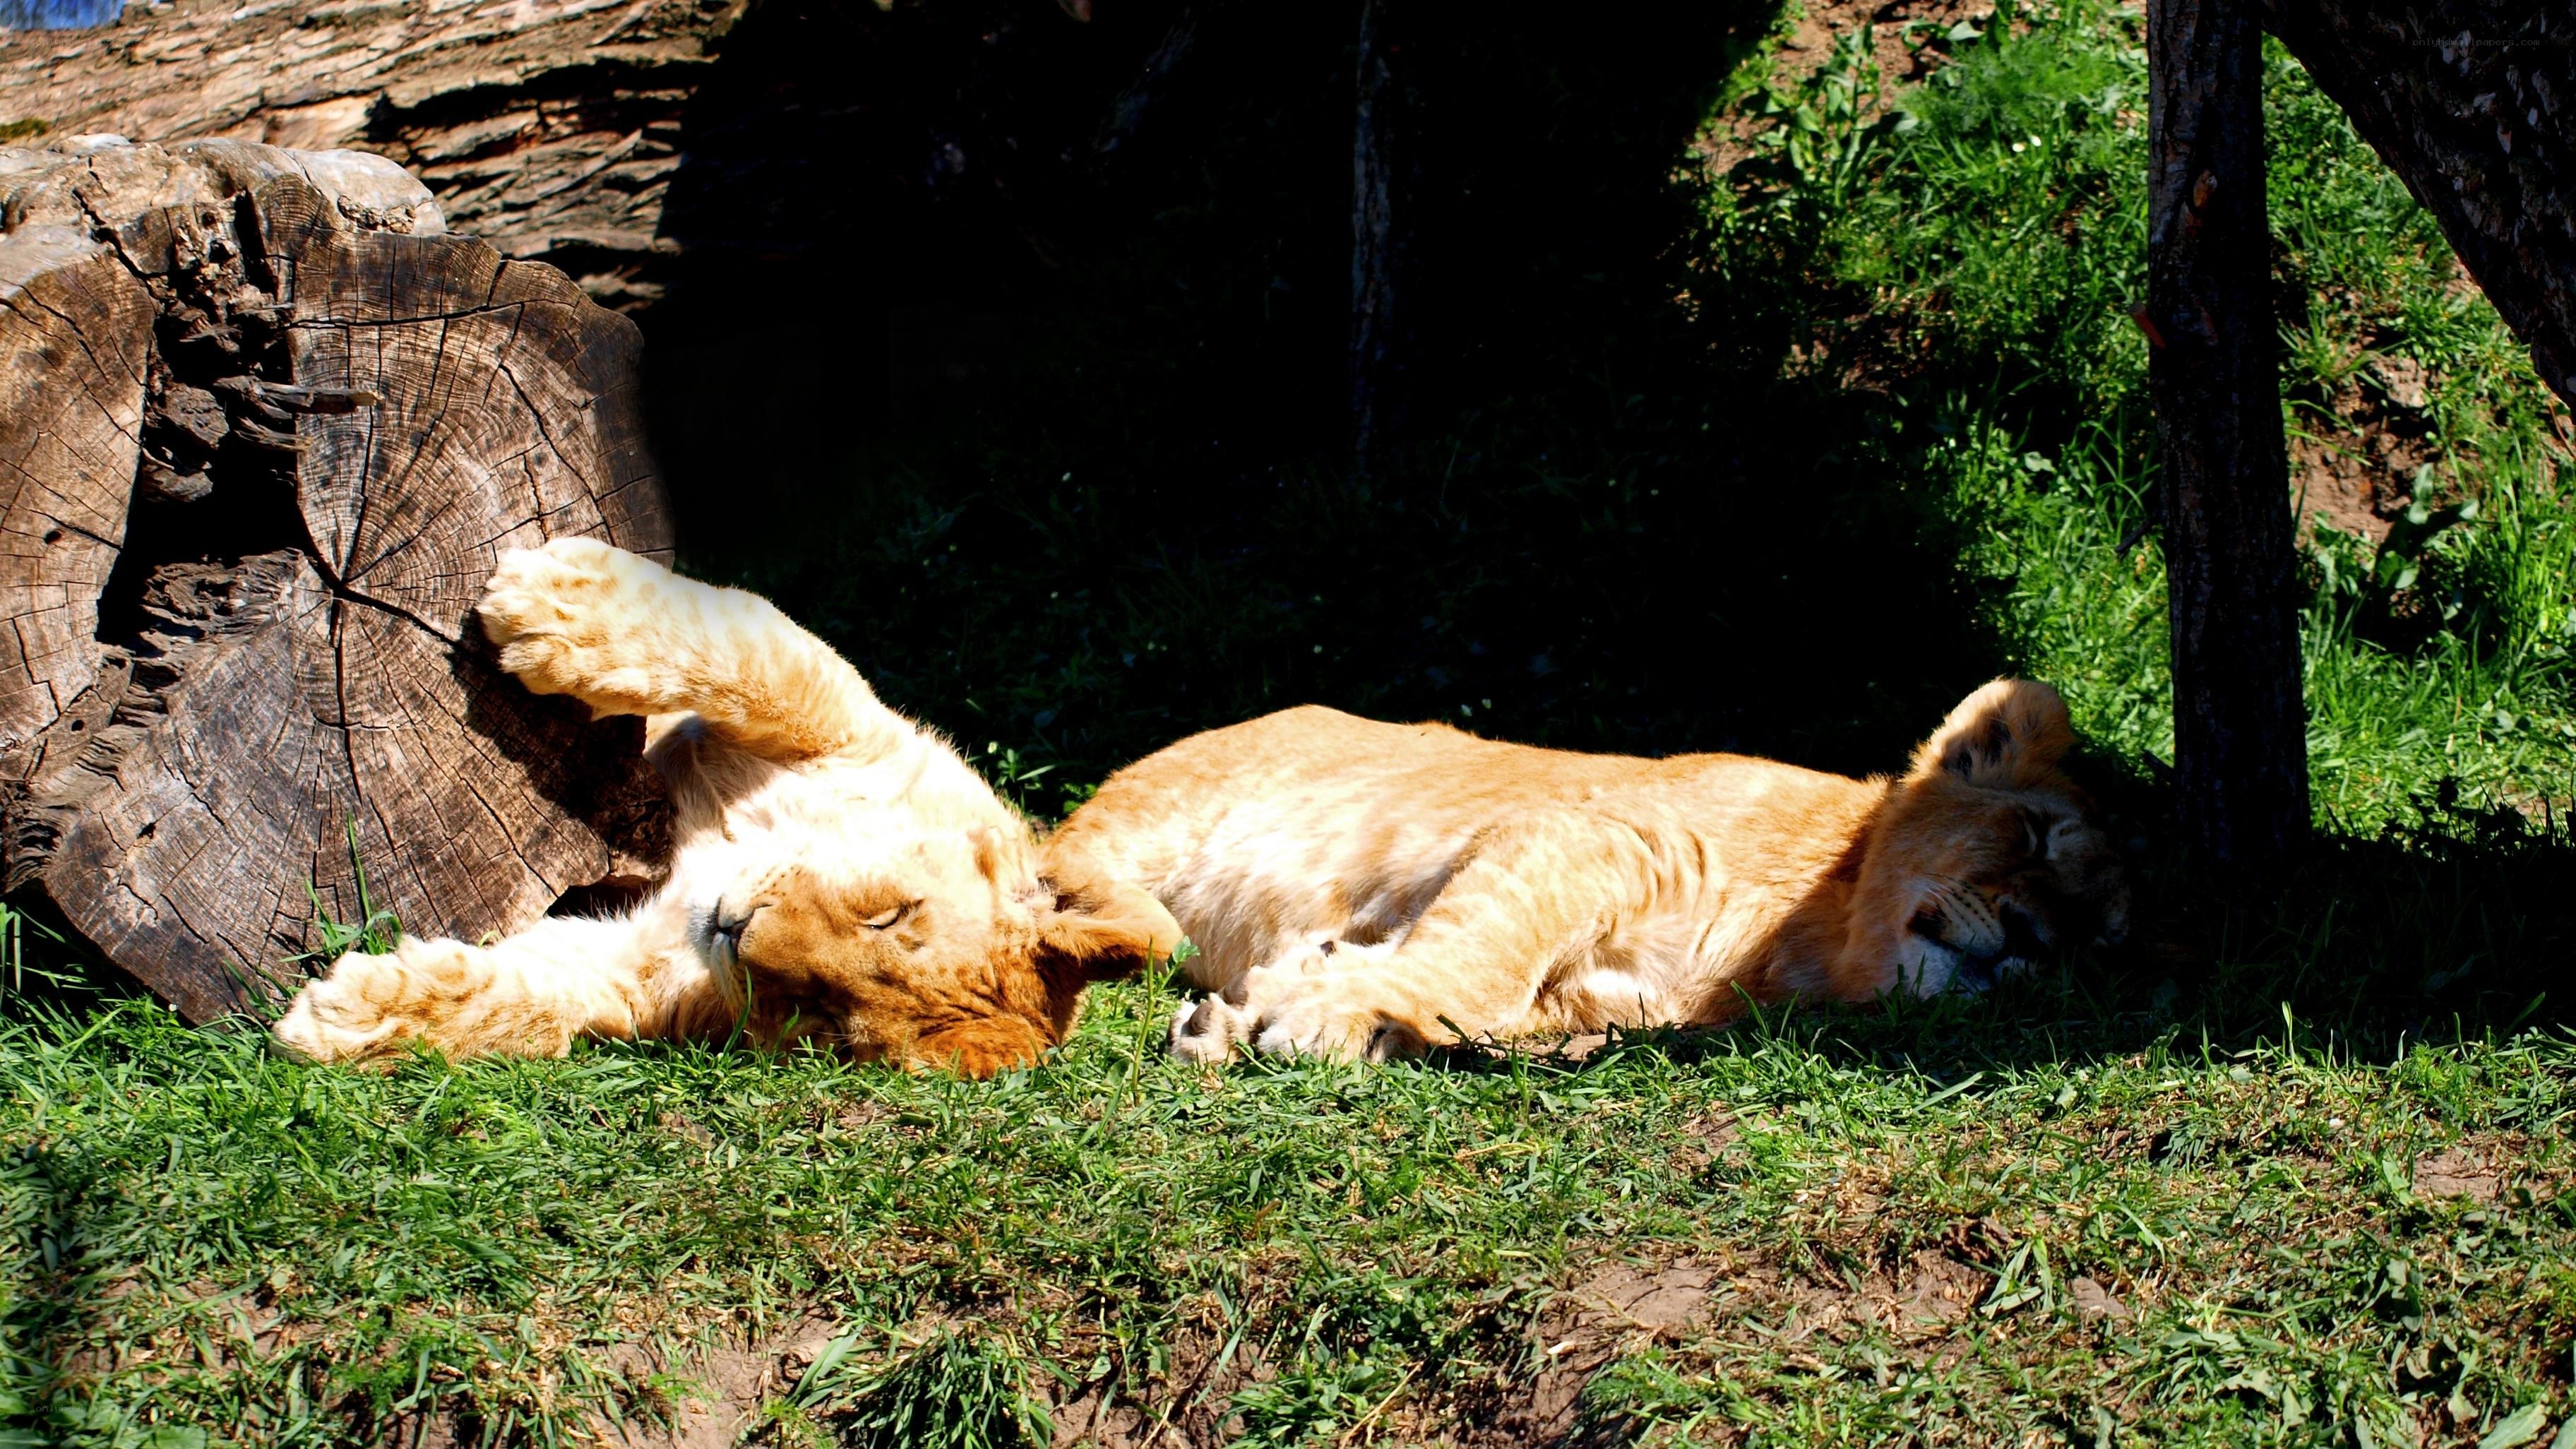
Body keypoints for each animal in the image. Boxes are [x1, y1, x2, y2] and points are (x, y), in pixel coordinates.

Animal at [271, 539, 1181, 1077]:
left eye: (828, 1023)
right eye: (889, 913)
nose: (738, 931)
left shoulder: (646, 970)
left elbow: (542, 1003)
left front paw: (354, 1017)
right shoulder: (851, 725)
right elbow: (751, 655)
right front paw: (556, 597)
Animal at [1039, 681, 2130, 1063]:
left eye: (2097, 943)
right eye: (2033, 834)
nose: (2035, 940)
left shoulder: (1605, 999)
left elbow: (1478, 1010)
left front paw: (1297, 1005)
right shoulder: (1591, 836)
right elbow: (1479, 955)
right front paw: (1314, 1007)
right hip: (1151, 817)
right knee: (1058, 863)